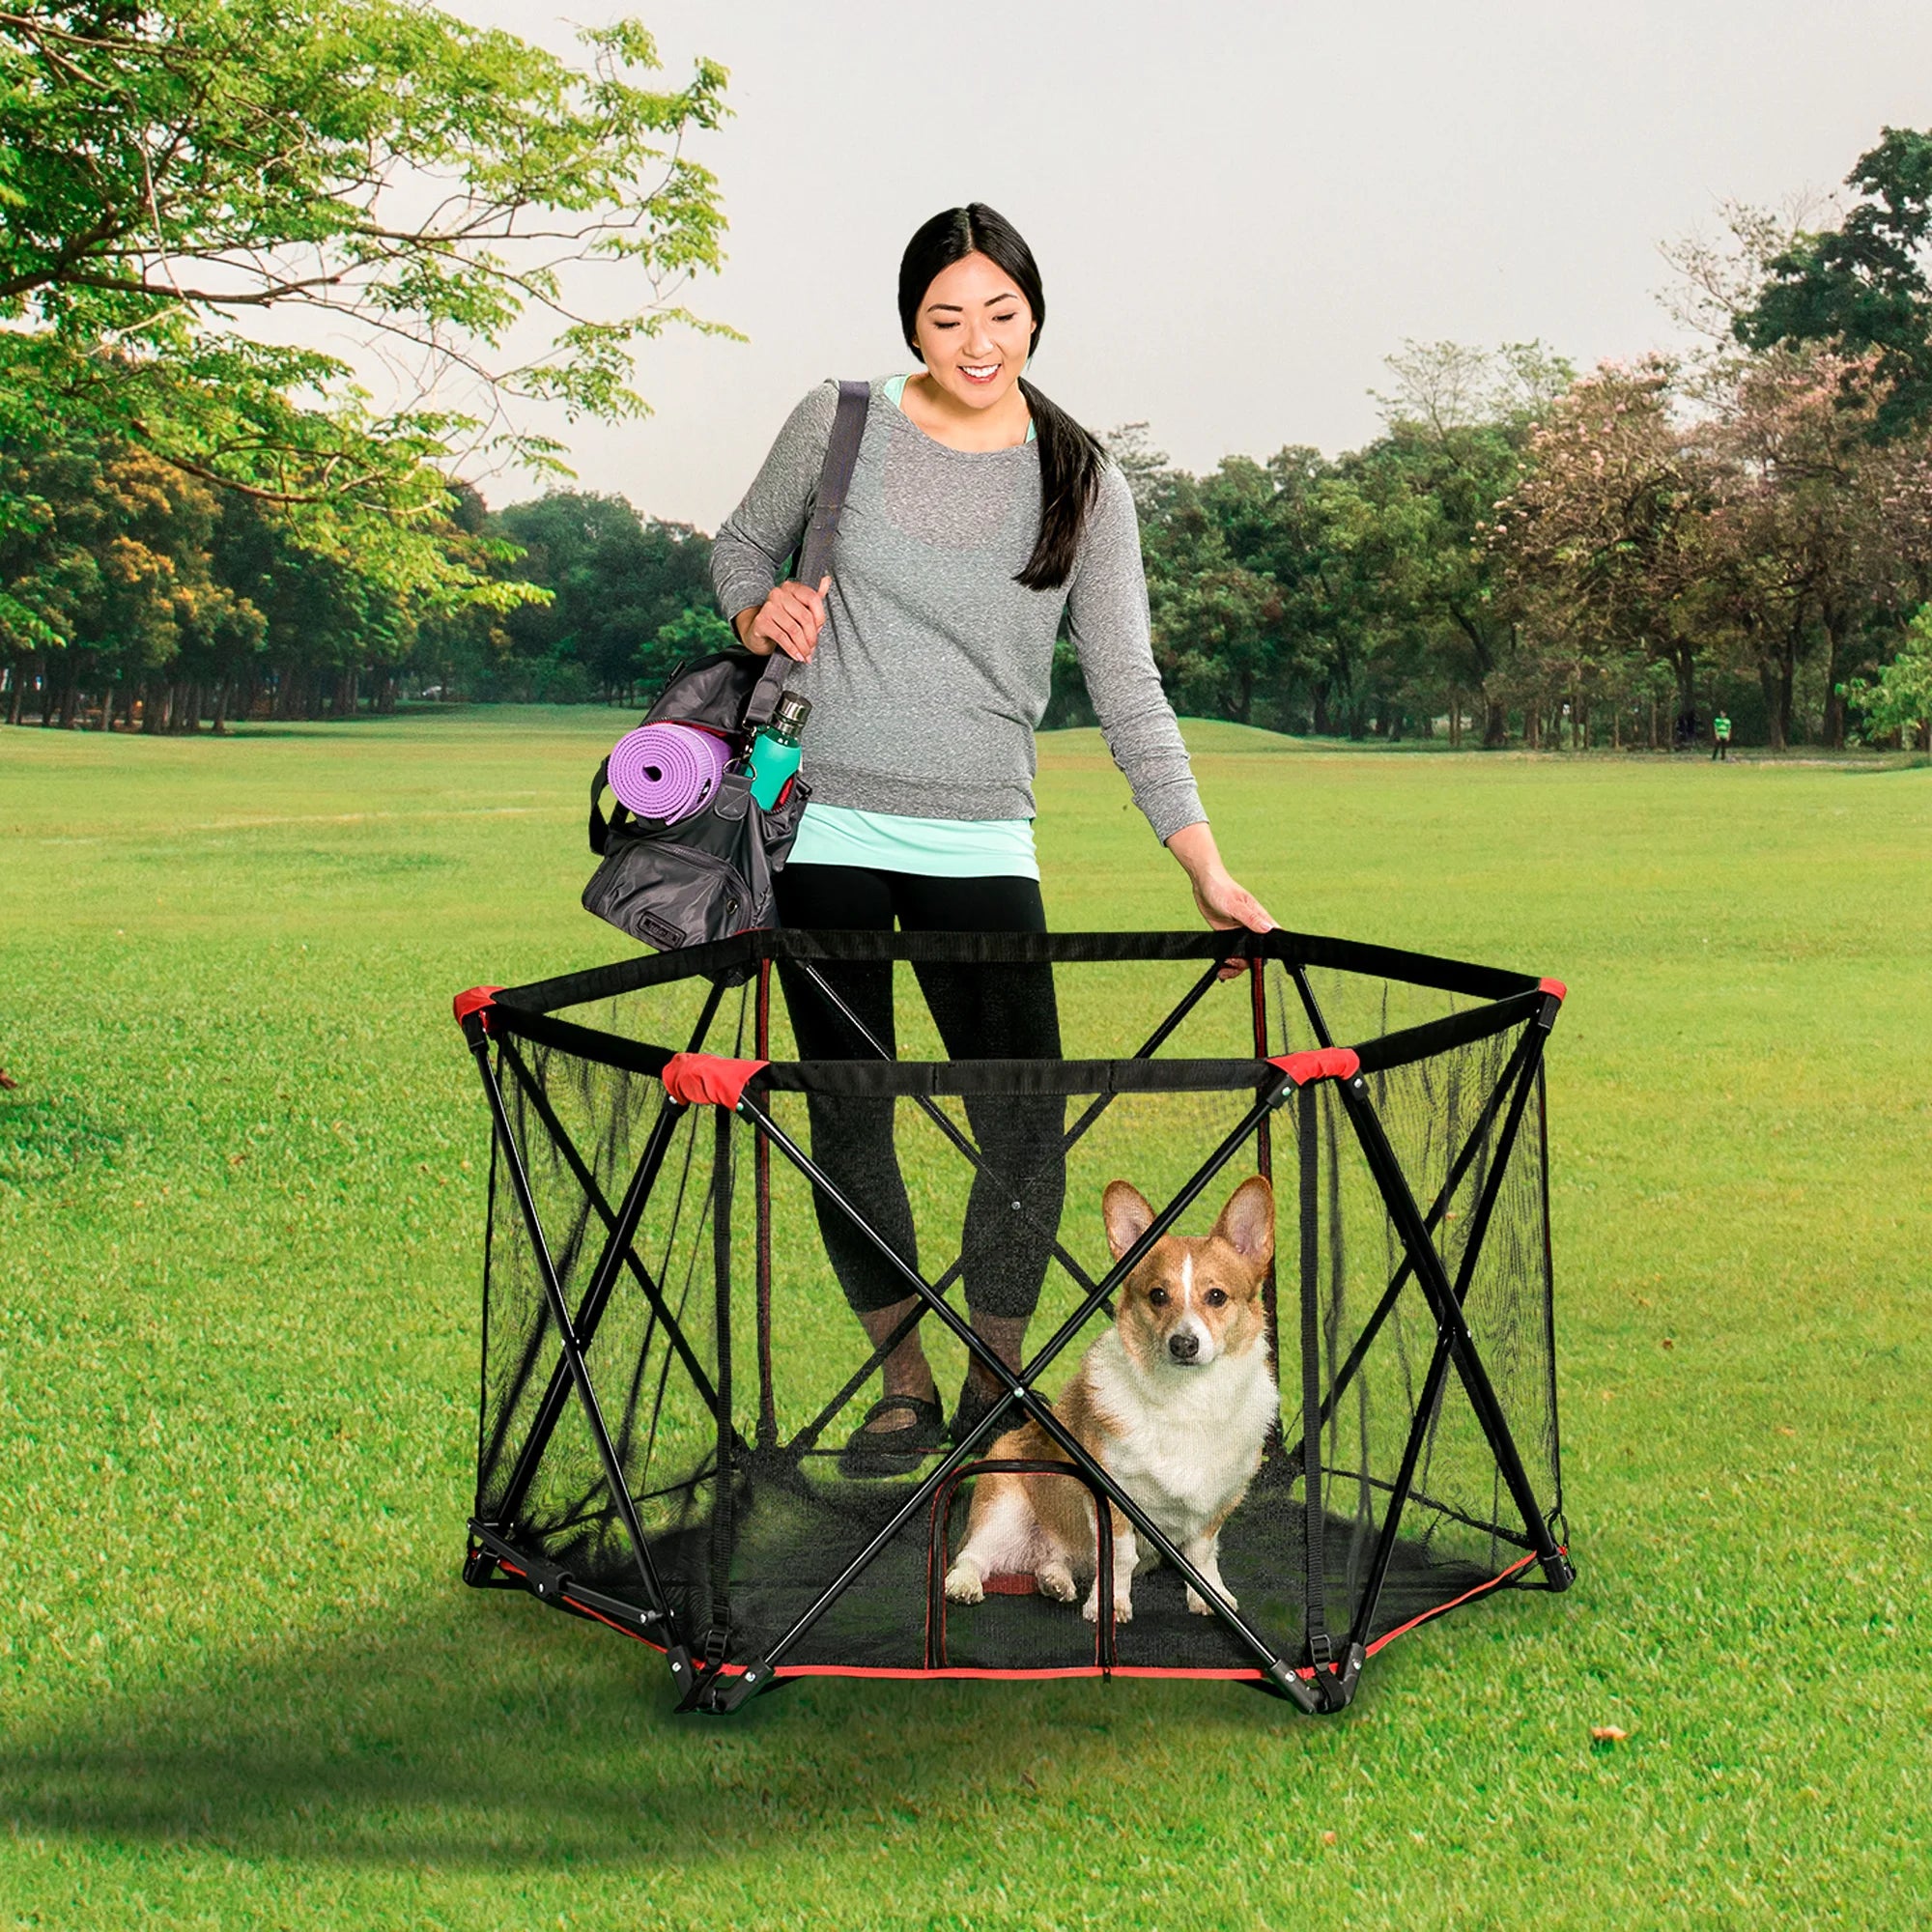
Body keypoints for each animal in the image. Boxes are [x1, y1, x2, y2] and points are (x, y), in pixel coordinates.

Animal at [943, 1167, 1275, 1623]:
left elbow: (1203, 1553)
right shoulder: (1113, 1499)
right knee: (971, 1556)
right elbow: (1120, 1557)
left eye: (1216, 1297)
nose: (1183, 1344)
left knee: (1051, 1561)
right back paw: (964, 1585)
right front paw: (1110, 1604)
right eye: (1158, 1295)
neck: (1187, 1399)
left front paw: (1210, 1596)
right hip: (1002, 1508)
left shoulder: (1220, 1499)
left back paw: (1056, 1581)